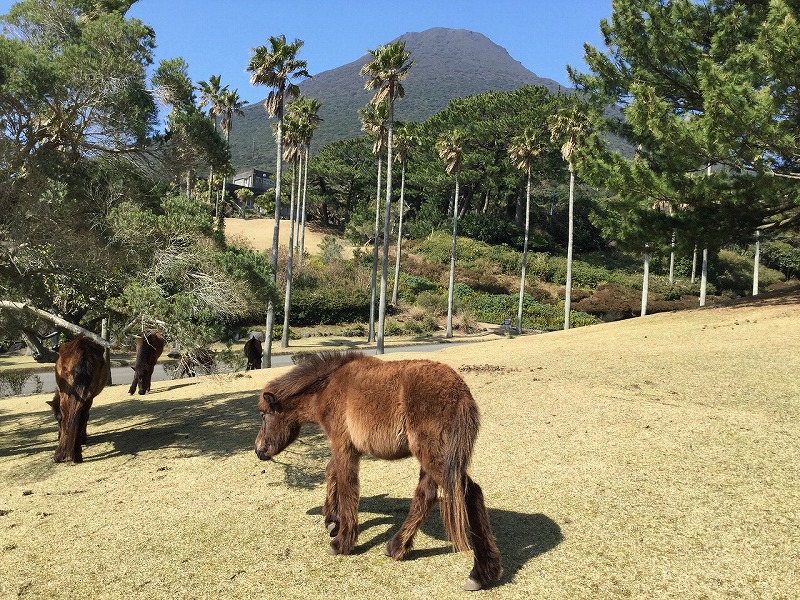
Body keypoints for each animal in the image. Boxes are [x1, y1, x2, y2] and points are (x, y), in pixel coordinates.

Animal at [256, 352, 504, 592]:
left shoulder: (343, 446)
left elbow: (347, 487)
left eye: (264, 415)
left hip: (438, 459)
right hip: (430, 459)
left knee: (471, 493)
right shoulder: (346, 448)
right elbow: (331, 472)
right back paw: (397, 547)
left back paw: (480, 574)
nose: (258, 450)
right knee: (426, 496)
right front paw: (332, 519)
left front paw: (341, 541)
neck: (329, 387)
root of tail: (461, 393)